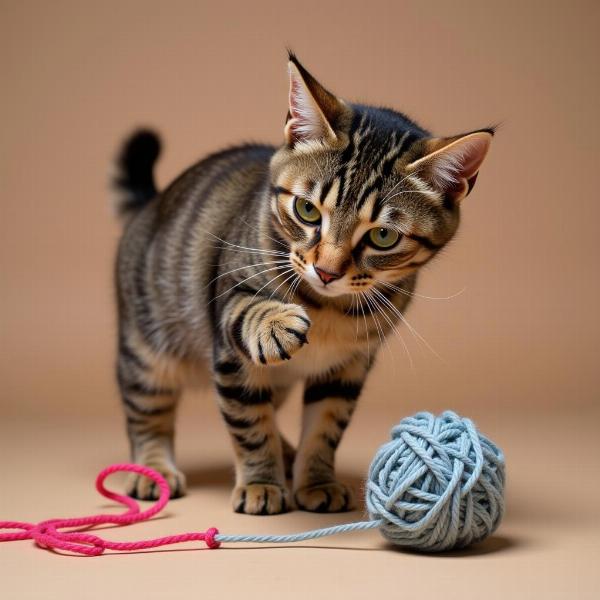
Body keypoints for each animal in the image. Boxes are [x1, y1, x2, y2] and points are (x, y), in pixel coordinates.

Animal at [112, 52, 492, 516]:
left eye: (383, 236)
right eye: (307, 210)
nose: (326, 271)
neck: (328, 309)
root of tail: (153, 201)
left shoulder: (347, 367)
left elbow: (325, 428)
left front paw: (315, 480)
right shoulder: (231, 327)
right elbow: (249, 421)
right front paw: (261, 483)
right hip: (147, 351)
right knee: (148, 415)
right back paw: (153, 470)